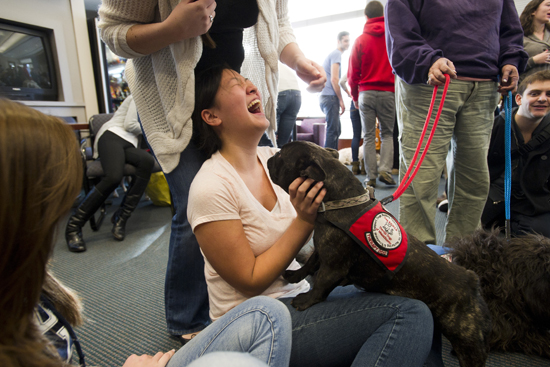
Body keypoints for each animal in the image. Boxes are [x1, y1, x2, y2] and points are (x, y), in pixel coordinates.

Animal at [270, 142, 494, 367]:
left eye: (281, 155)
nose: (270, 158)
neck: (339, 201)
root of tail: (470, 280)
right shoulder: (323, 249)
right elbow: (309, 264)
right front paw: (294, 275)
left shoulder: (333, 267)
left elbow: (321, 285)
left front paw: (305, 300)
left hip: (465, 340)